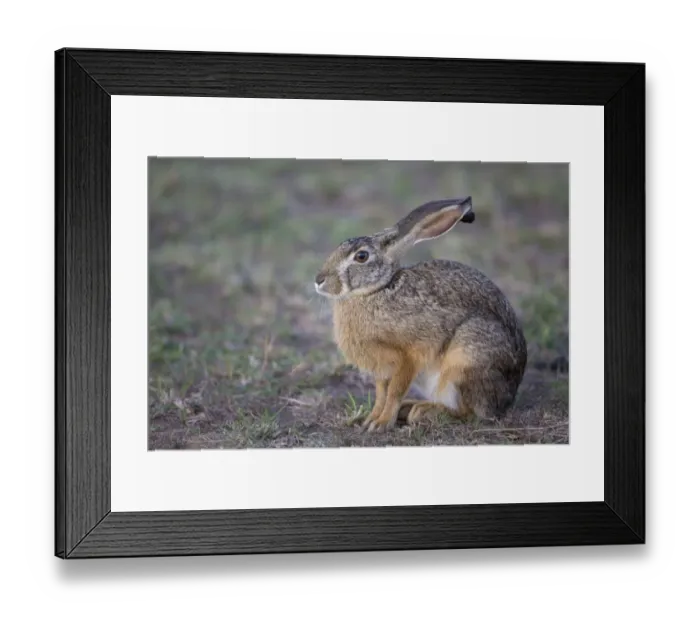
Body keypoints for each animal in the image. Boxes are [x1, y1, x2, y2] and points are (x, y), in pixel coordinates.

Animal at [314, 196, 527, 433]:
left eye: (361, 256)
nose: (319, 280)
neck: (376, 290)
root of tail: (508, 397)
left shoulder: (409, 356)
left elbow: (394, 392)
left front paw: (381, 424)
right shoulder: (382, 370)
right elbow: (381, 394)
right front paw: (371, 419)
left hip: (466, 359)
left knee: (470, 412)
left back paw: (423, 411)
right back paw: (411, 407)